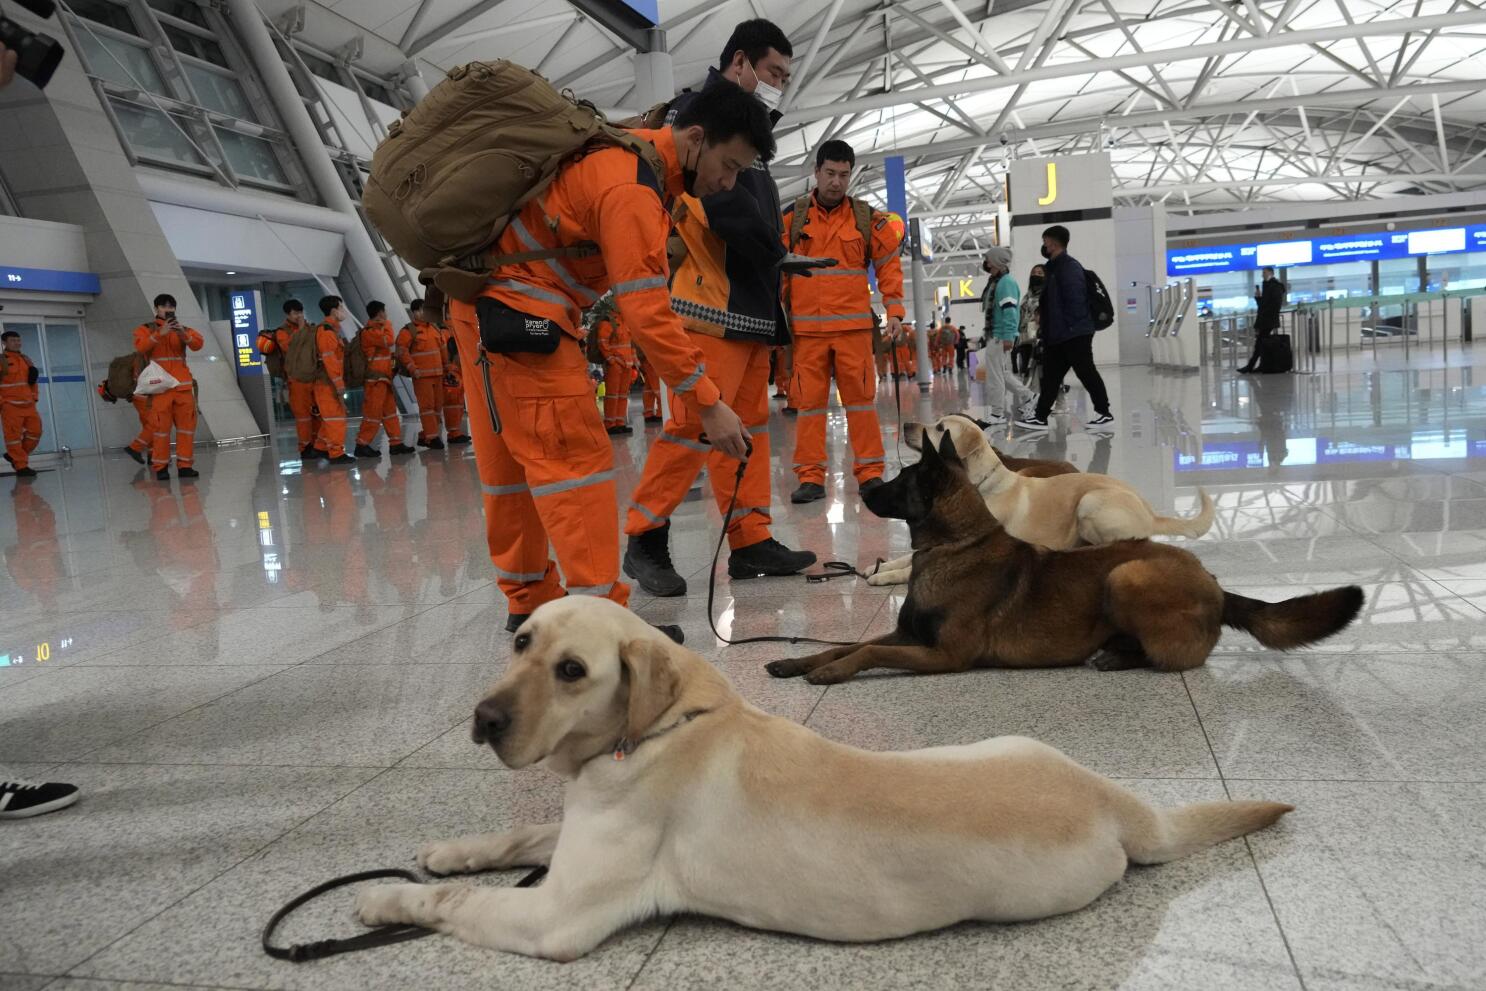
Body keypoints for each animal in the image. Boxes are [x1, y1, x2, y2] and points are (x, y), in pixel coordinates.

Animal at [356, 597, 1289, 962]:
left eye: (573, 669)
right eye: (521, 641)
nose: (484, 719)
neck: (661, 727)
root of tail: (1116, 800)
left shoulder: (557, 914)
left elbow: (458, 904)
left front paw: (384, 899)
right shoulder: (576, 828)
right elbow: (518, 832)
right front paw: (449, 849)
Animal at [772, 430, 1361, 686]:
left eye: (899, 480)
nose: (863, 488)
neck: (957, 546)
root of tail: (1215, 584)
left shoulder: (943, 654)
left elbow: (867, 652)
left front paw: (831, 673)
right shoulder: (907, 634)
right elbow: (847, 644)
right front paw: (798, 661)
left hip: (1125, 574)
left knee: (1171, 656)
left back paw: (1119, 656)